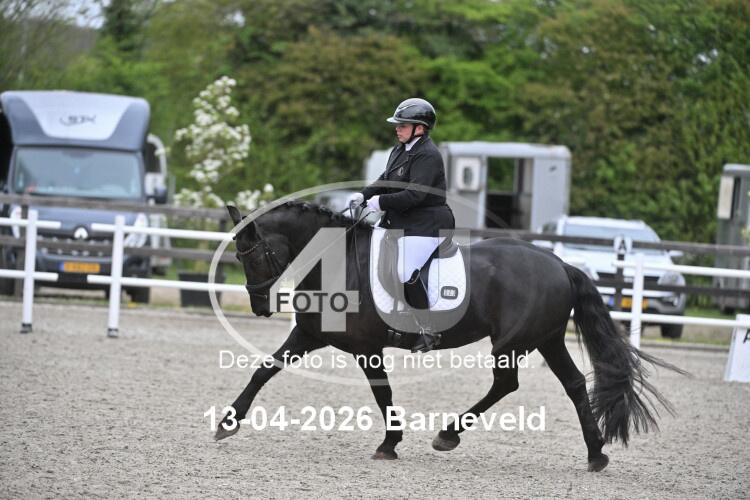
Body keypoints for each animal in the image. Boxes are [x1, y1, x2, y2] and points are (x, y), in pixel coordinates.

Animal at [216, 201, 682, 471]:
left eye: (252, 255)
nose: (259, 306)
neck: (339, 262)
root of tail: (558, 263)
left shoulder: (367, 348)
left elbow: (383, 393)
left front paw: (390, 443)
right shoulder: (309, 334)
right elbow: (264, 370)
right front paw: (227, 423)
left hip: (513, 343)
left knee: (506, 384)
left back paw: (448, 434)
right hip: (548, 339)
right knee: (573, 383)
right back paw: (596, 453)